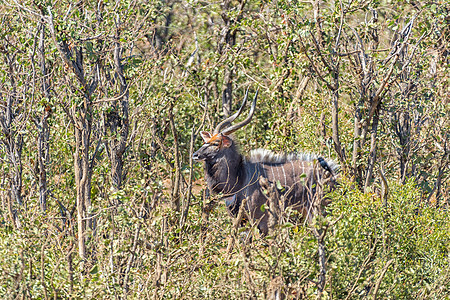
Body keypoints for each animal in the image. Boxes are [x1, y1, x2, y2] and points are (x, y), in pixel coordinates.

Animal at [193, 89, 338, 234]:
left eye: (216, 143)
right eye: (206, 141)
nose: (195, 155)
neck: (240, 176)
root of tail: (332, 175)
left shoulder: (262, 220)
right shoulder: (242, 221)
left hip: (316, 210)